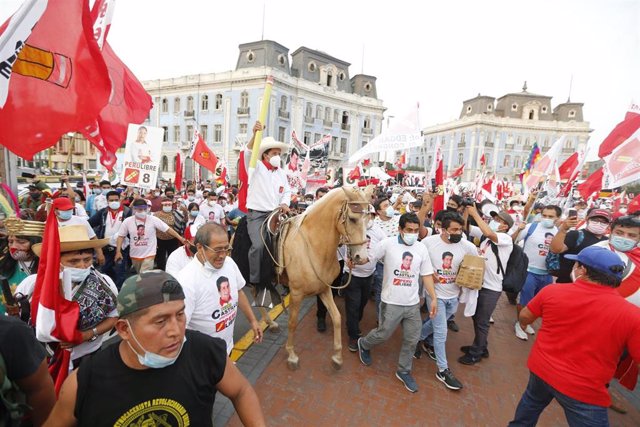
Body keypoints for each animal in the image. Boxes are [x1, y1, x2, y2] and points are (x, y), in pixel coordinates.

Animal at [278, 186, 372, 372]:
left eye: (369, 219)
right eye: (352, 219)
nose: (362, 258)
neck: (312, 247)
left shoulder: (325, 288)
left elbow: (337, 317)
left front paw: (337, 357)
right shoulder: (296, 293)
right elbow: (292, 322)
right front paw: (291, 355)